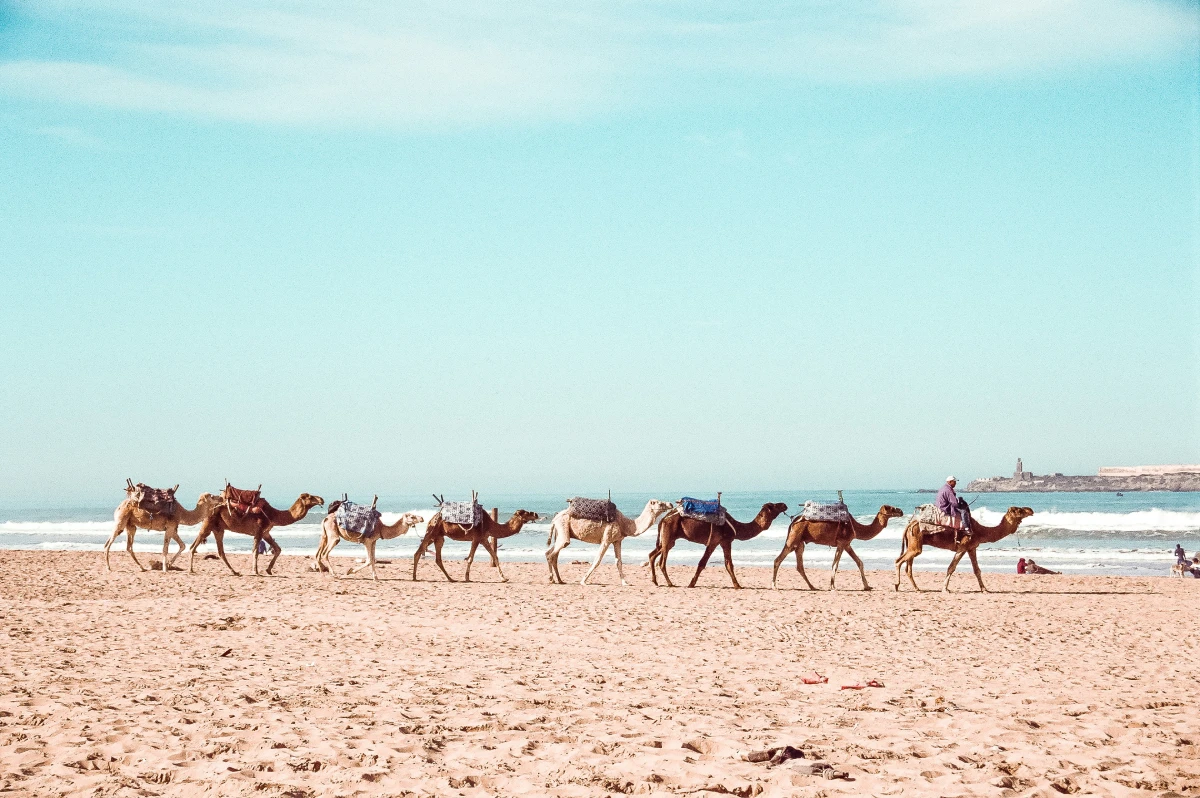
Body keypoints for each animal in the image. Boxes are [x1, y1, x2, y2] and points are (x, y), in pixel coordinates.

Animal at [187, 491, 324, 576]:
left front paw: (268, 570)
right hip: (208, 524)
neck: (273, 515)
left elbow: (277, 549)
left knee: (220, 551)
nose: (321, 499)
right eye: (309, 496)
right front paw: (256, 571)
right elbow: (255, 551)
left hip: (218, 529)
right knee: (193, 546)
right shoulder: (258, 530)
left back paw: (235, 572)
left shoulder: (266, 532)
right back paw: (190, 570)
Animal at [545, 499, 673, 585]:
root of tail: (555, 518)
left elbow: (619, 562)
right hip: (563, 529)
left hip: (561, 532)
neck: (625, 524)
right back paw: (551, 579)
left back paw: (559, 580)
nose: (671, 504)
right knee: (553, 553)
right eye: (660, 503)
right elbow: (597, 560)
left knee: (550, 553)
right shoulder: (606, 539)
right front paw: (583, 581)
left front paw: (625, 582)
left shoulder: (617, 541)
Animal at [648, 502, 788, 589]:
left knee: (652, 554)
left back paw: (655, 581)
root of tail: (663, 519)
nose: (784, 505)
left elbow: (729, 564)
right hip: (668, 536)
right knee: (661, 561)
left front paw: (737, 585)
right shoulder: (714, 541)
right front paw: (691, 583)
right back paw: (670, 583)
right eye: (774, 506)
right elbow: (702, 563)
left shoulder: (725, 542)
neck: (735, 526)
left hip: (668, 540)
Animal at [772, 505, 904, 591]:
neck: (855, 527)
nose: (901, 511)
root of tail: (793, 522)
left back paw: (812, 587)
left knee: (799, 566)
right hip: (793, 538)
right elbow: (835, 565)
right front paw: (833, 586)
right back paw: (774, 586)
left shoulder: (847, 544)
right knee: (778, 560)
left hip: (800, 543)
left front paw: (867, 586)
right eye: (891, 508)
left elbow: (859, 562)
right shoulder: (842, 543)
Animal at [894, 506, 1034, 592]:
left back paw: (917, 588)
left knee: (908, 566)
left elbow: (977, 570)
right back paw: (896, 585)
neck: (980, 531)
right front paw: (945, 589)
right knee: (898, 561)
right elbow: (951, 567)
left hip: (913, 545)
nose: (1030, 510)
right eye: (1018, 510)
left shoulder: (971, 548)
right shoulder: (963, 546)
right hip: (915, 545)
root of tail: (909, 525)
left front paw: (985, 589)